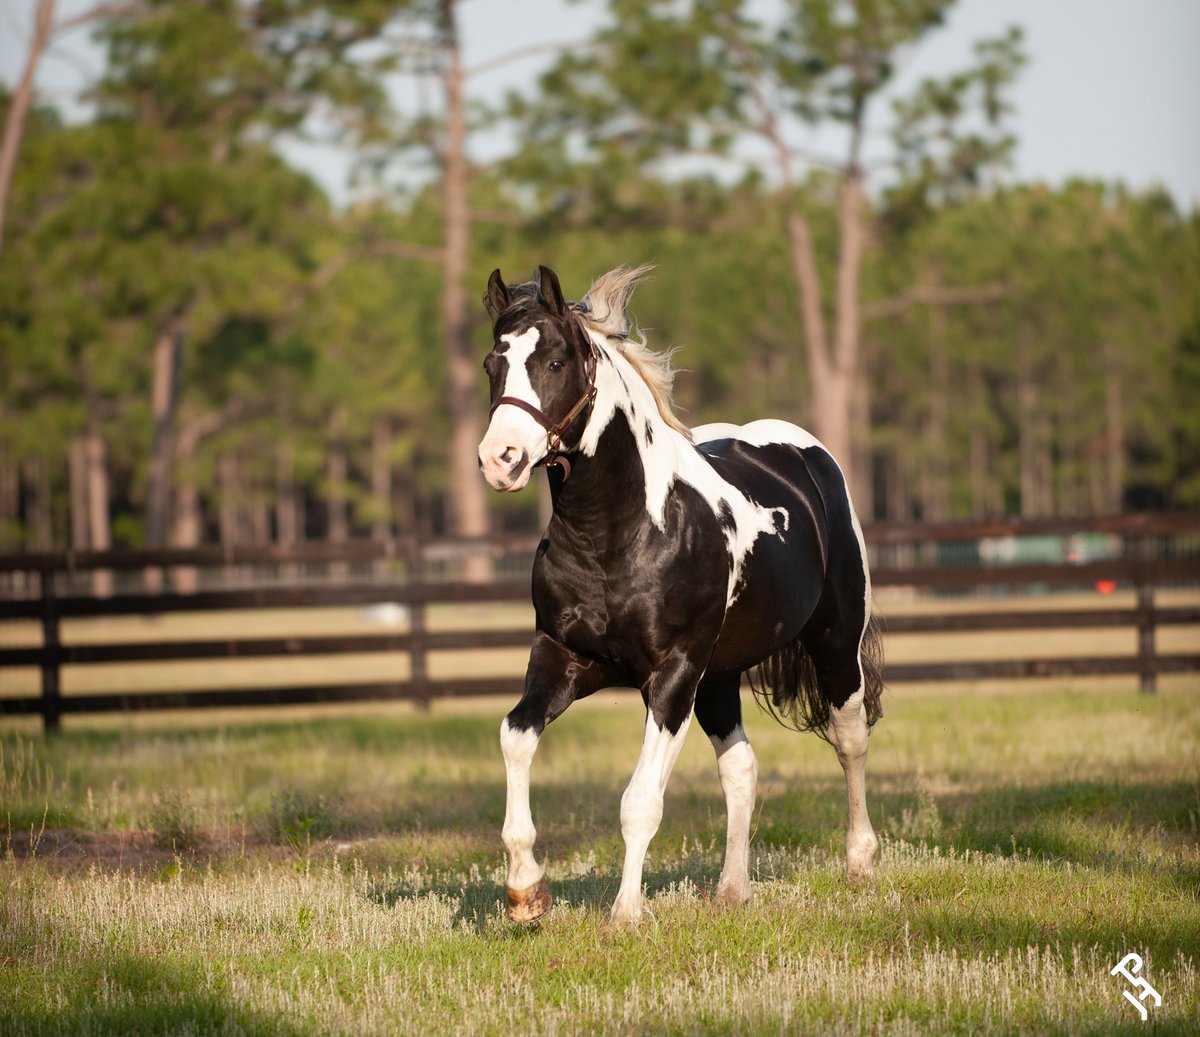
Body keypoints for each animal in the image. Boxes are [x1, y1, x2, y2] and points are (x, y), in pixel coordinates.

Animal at [478, 263, 884, 928]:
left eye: (557, 361)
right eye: (494, 362)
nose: (499, 459)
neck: (619, 535)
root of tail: (807, 456)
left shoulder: (671, 677)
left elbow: (640, 801)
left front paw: (624, 916)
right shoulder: (565, 659)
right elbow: (516, 736)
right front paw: (525, 892)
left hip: (833, 643)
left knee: (849, 740)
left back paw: (859, 864)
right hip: (718, 676)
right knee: (741, 768)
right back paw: (732, 889)